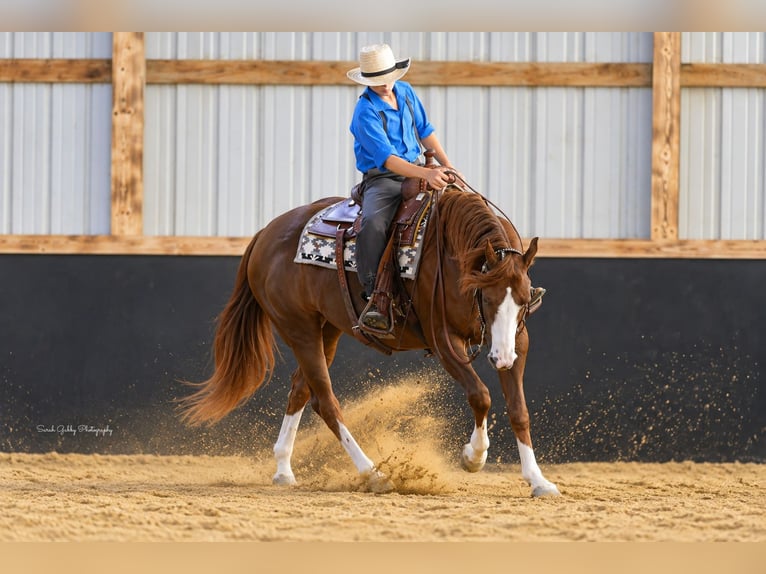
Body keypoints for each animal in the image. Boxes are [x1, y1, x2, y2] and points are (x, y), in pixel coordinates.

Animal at [180, 185, 560, 498]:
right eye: (488, 297)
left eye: (524, 298)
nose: (501, 358)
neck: (455, 252)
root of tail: (264, 235)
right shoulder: (443, 340)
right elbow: (480, 396)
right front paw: (473, 457)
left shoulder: (518, 340)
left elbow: (519, 410)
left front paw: (538, 480)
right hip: (298, 329)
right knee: (326, 402)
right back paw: (374, 474)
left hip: (327, 330)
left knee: (302, 392)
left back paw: (284, 470)